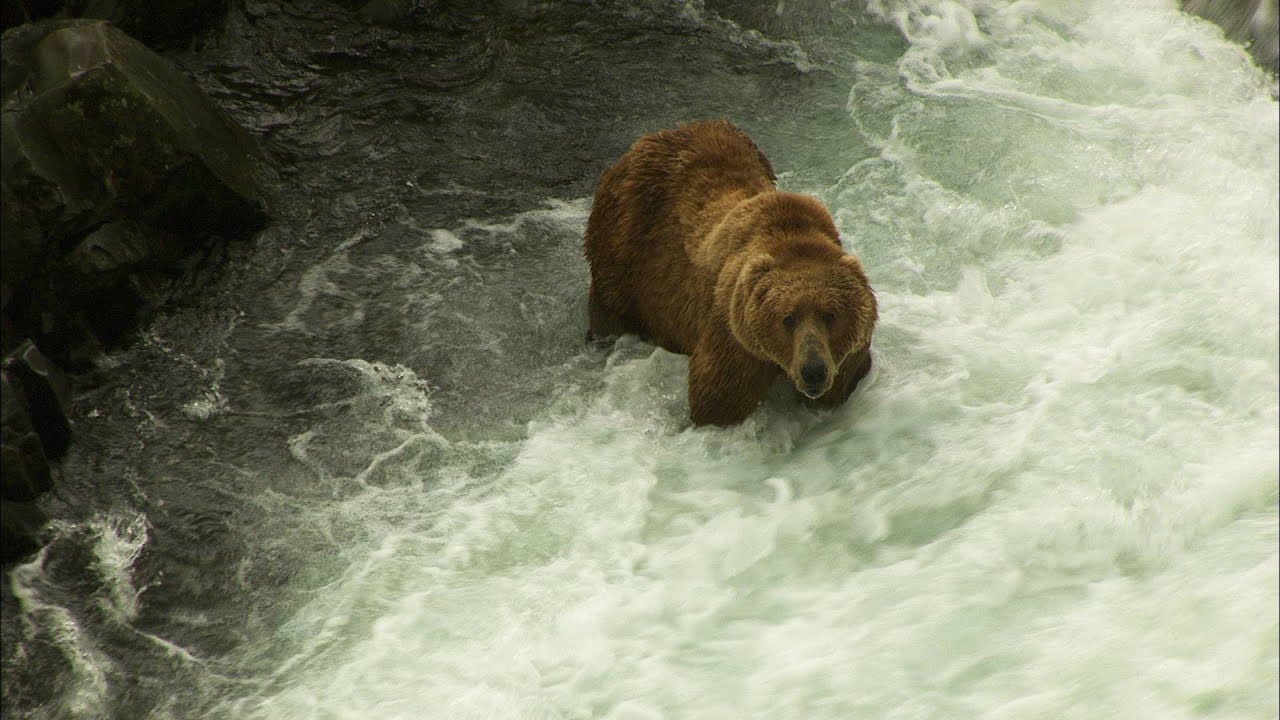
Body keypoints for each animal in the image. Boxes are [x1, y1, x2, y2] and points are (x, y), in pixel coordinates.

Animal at [583, 119, 877, 426]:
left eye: (830, 315)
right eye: (788, 318)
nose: (814, 370)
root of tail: (645, 141)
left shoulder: (847, 356)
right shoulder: (735, 335)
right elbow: (717, 399)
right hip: (624, 251)